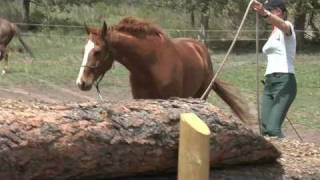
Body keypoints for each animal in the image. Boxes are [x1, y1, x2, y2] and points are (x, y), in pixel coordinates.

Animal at [76, 16, 251, 122]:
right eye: (83, 50)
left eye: (97, 51)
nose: (81, 82)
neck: (151, 65)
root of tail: (199, 48)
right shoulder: (141, 100)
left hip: (201, 96)